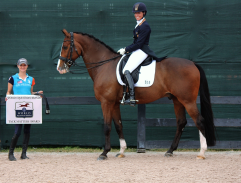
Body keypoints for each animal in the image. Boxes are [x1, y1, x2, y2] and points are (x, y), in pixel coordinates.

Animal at [57, 28, 217, 160]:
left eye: (65, 47)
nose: (60, 68)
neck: (104, 65)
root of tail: (192, 63)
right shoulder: (115, 103)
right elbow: (118, 125)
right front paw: (121, 151)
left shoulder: (106, 102)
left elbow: (107, 126)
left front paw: (104, 153)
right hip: (177, 100)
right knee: (181, 122)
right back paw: (170, 151)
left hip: (188, 100)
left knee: (199, 121)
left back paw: (201, 153)